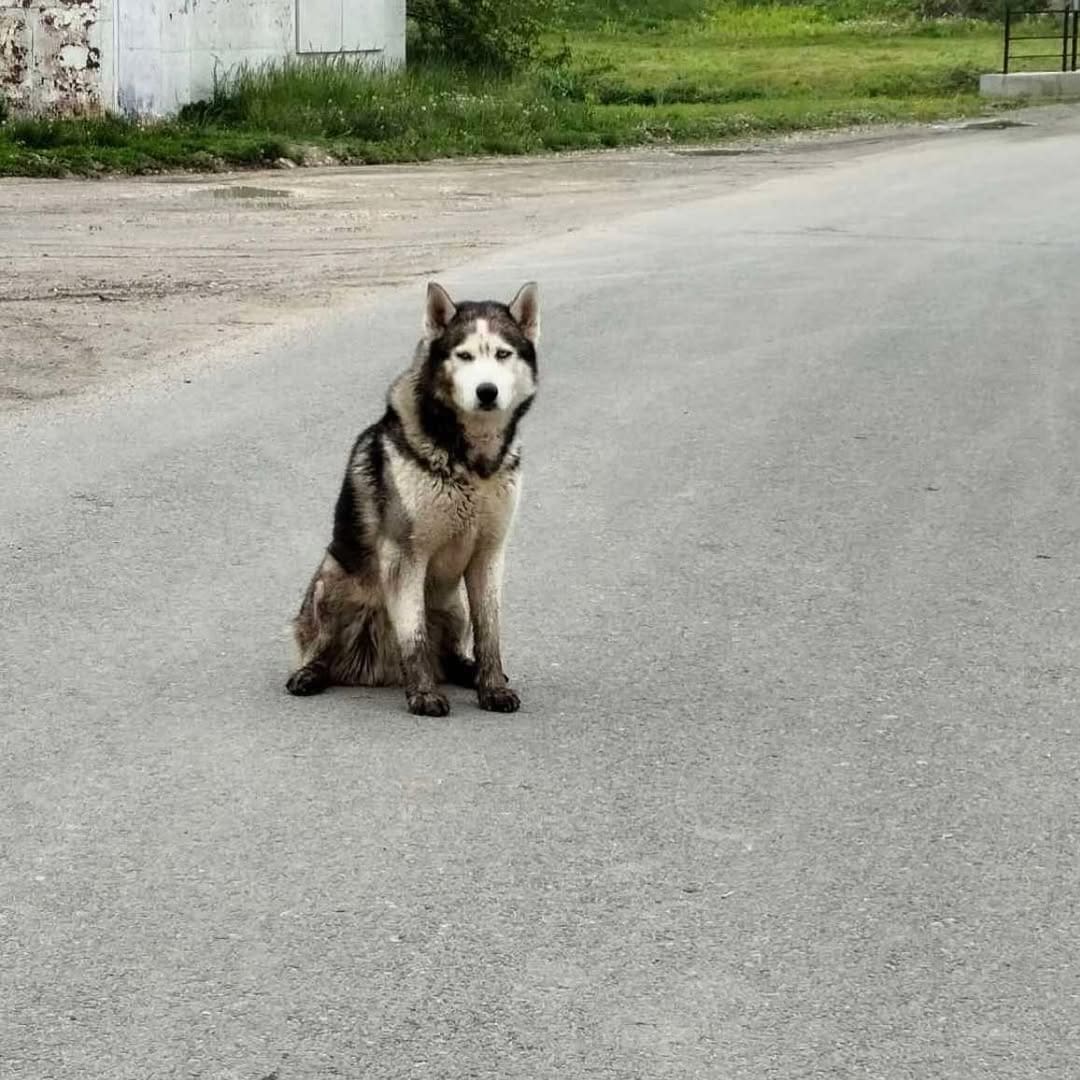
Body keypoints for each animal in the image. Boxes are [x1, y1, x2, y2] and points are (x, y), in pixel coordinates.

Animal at [286, 280, 540, 717]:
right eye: (464, 355)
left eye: (503, 354)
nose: (486, 391)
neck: (472, 463)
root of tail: (376, 669)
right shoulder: (405, 555)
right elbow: (414, 637)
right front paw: (422, 694)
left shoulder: (489, 555)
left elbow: (490, 633)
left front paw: (491, 687)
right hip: (330, 579)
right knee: (322, 649)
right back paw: (311, 673)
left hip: (452, 608)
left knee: (451, 651)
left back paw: (467, 670)